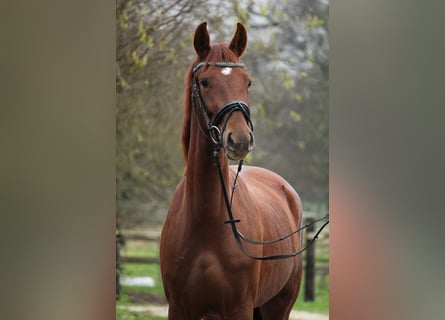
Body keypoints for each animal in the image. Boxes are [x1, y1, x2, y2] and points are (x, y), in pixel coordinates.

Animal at [160, 21, 302, 318]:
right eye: (205, 81)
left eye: (247, 82)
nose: (240, 140)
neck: (206, 222)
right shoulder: (179, 309)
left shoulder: (239, 308)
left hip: (279, 305)